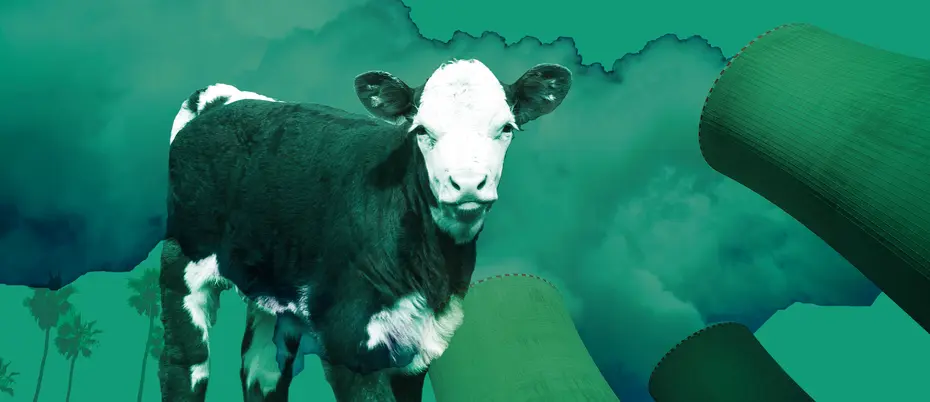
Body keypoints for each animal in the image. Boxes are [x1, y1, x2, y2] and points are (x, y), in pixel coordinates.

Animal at [158, 59, 572, 402]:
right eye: (421, 130)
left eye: (506, 128)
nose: (468, 183)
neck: (432, 270)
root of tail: (221, 100)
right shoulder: (348, 338)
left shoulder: (417, 349)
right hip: (182, 262)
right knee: (185, 363)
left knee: (262, 370)